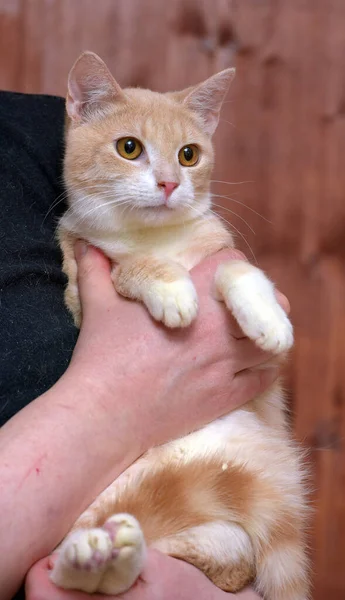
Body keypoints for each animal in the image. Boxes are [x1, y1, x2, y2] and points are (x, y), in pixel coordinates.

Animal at [50, 52, 310, 600]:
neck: (158, 240)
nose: (170, 183)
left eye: (189, 155)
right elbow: (129, 268)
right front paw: (171, 290)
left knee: (197, 555)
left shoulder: (222, 256)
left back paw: (114, 554)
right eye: (129, 148)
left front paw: (266, 316)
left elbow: (238, 272)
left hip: (221, 529)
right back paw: (92, 557)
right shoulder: (79, 281)